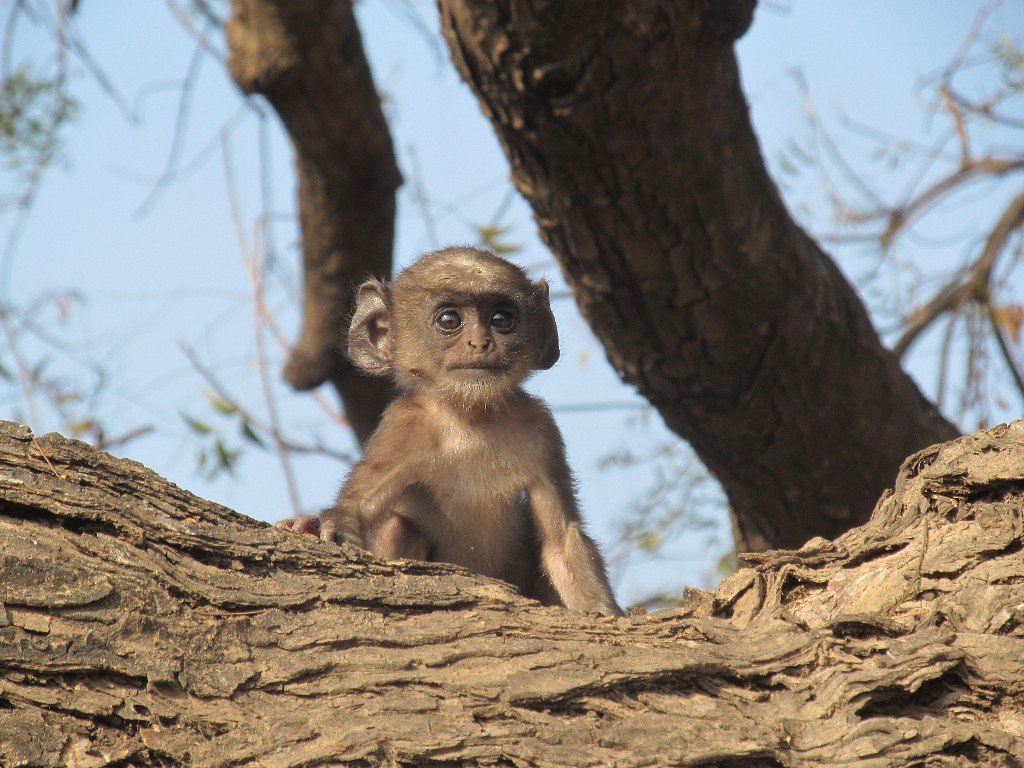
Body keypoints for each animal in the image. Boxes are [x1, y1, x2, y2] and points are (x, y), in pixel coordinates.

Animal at [276, 247, 622, 618]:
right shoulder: (404, 424)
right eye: (448, 320)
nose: (481, 342)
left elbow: (561, 541)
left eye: (502, 319)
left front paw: (604, 611)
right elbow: (356, 505)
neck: (471, 420)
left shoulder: (540, 428)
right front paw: (316, 525)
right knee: (399, 526)